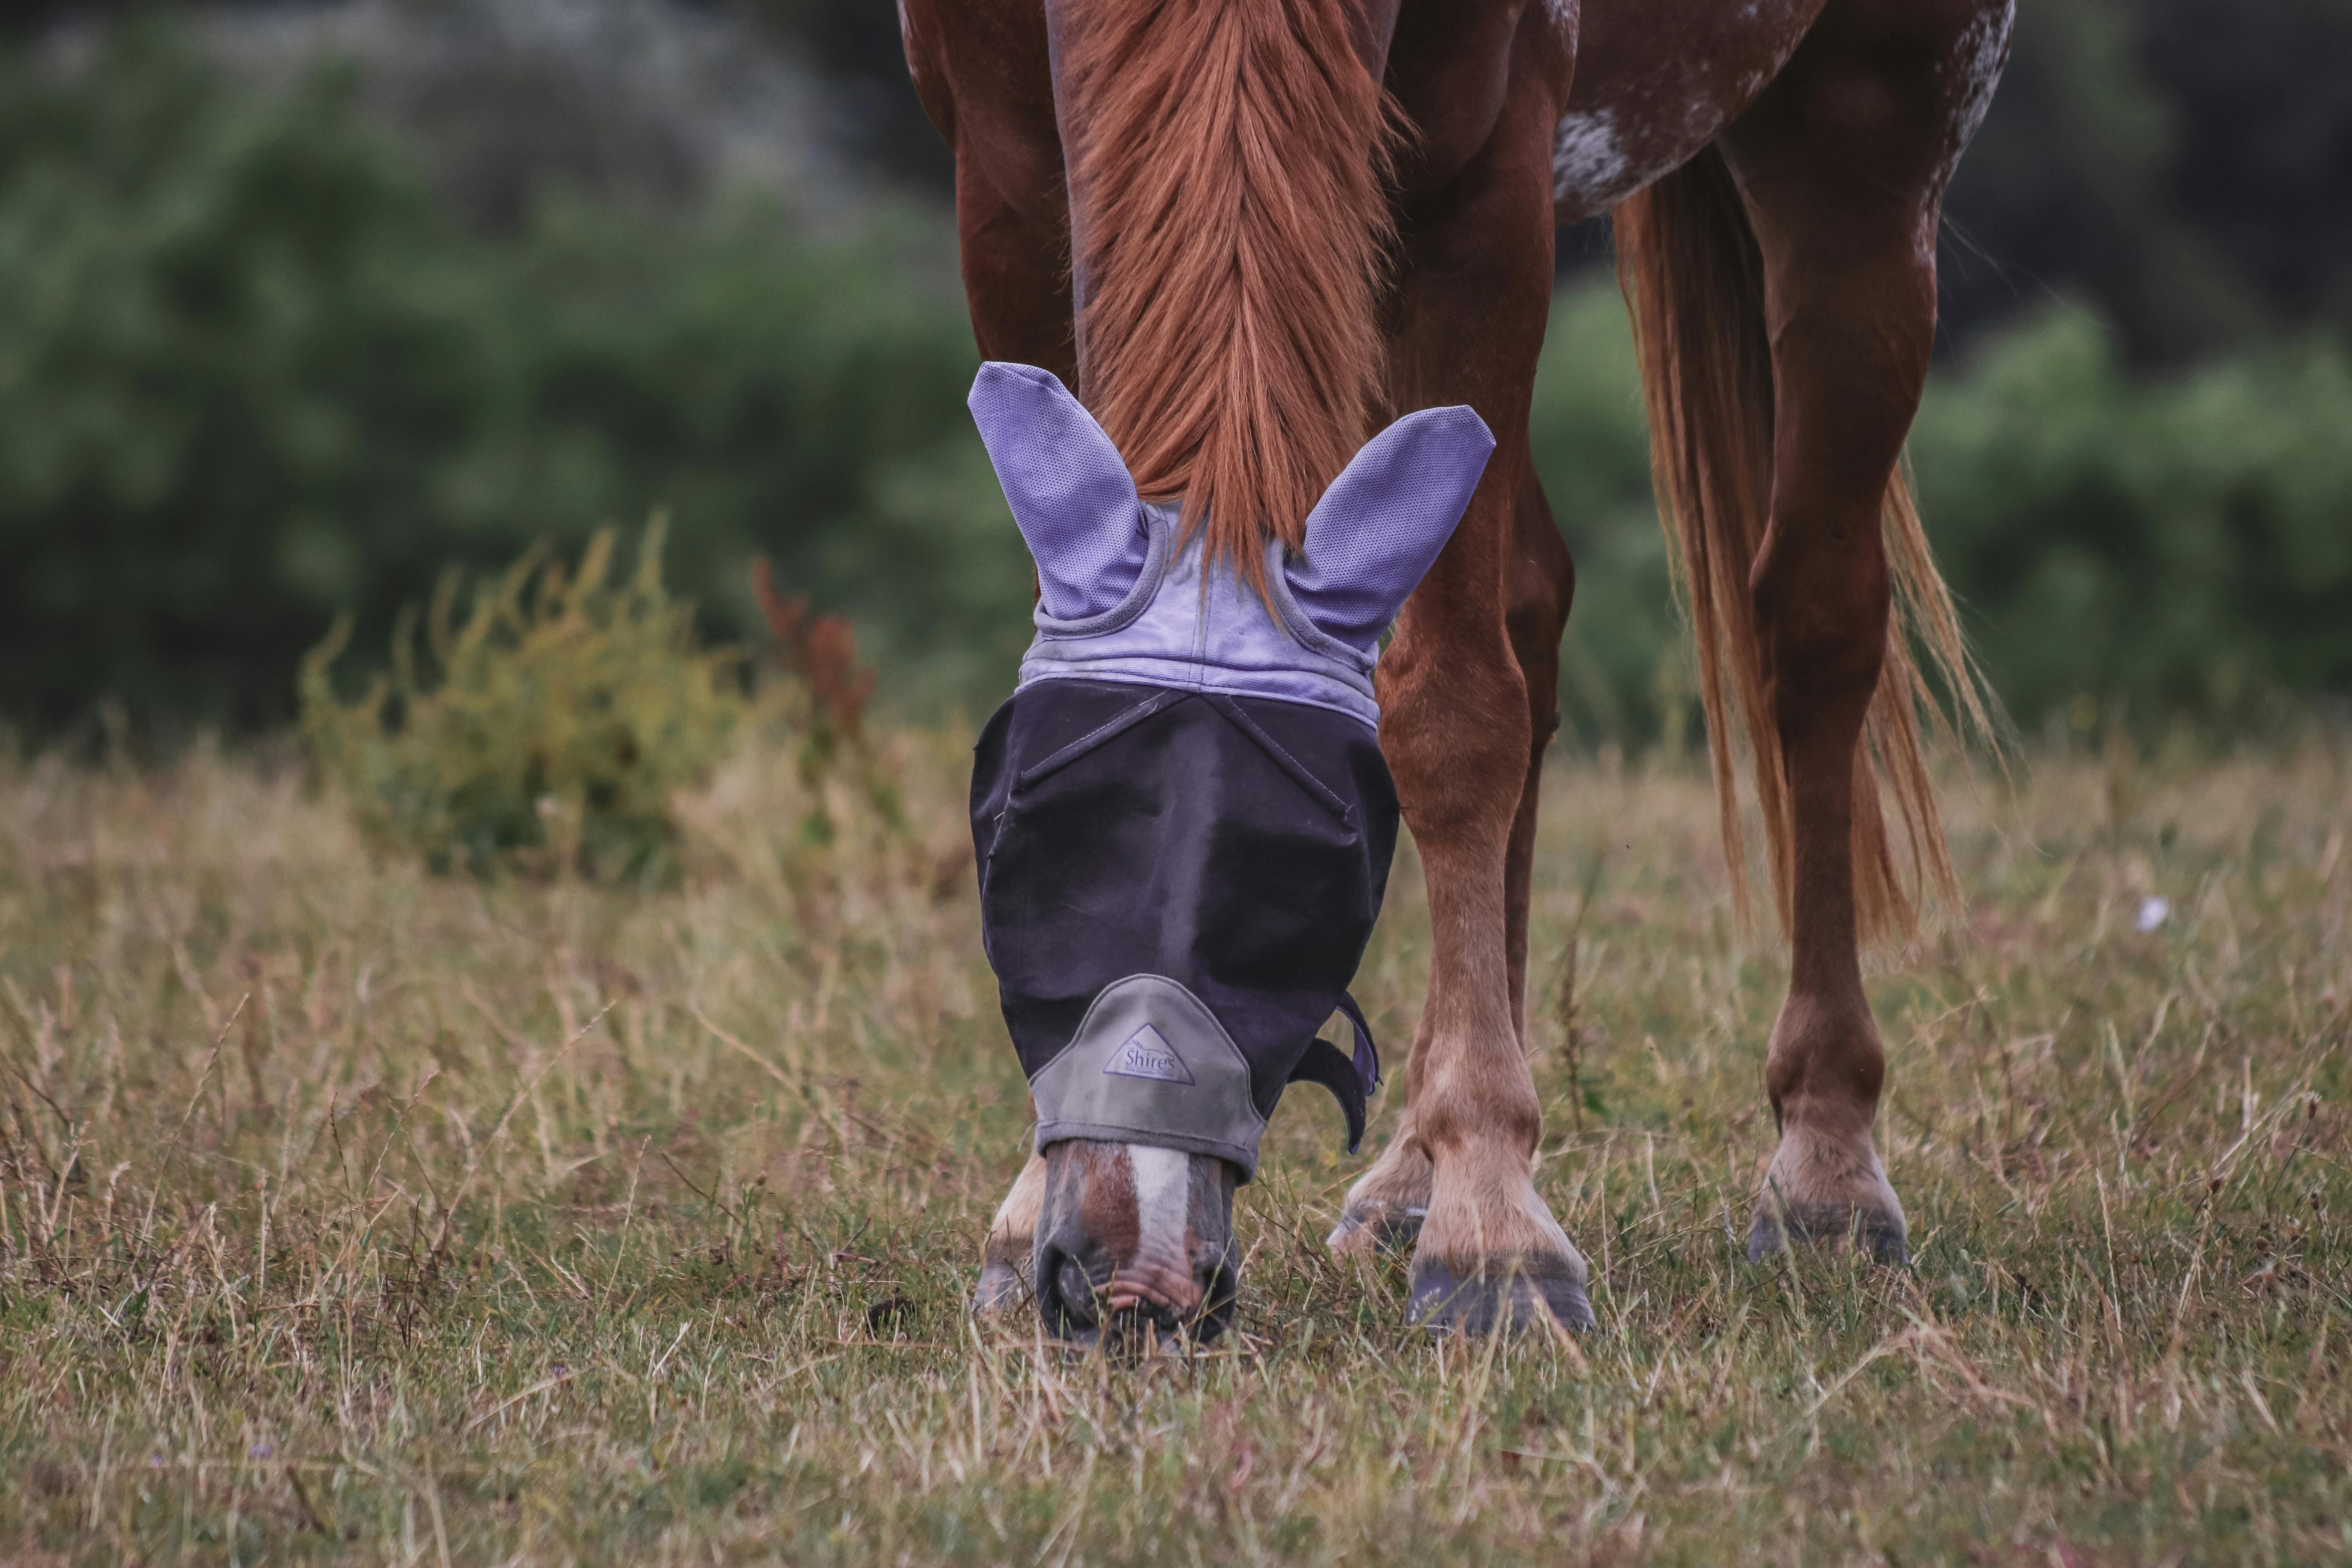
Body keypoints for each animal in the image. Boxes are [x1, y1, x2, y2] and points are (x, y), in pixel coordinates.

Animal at [899, 0, 2010, 1339]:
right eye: (1026, 853)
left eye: (1306, 895)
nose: (1124, 1272)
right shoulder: (1005, 171)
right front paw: (1023, 1213)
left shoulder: (1482, 188)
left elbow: (1455, 713)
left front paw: (1493, 1223)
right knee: (1531, 602)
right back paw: (1403, 1186)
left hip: (1880, 122)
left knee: (1811, 628)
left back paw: (1824, 1175)